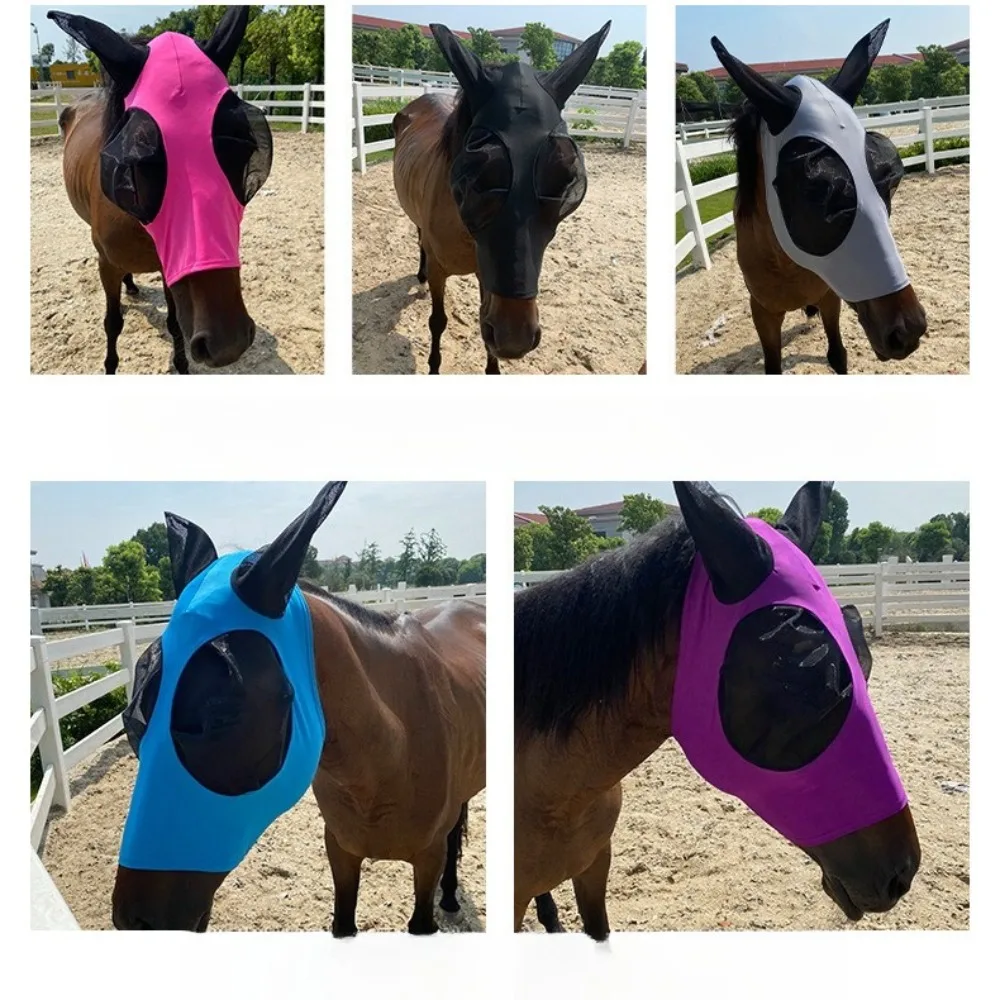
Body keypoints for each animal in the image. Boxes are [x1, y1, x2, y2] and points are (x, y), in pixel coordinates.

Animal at [48, 7, 273, 373]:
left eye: (245, 149)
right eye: (141, 160)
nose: (228, 343)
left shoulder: (172, 269)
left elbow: (175, 323)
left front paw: (181, 364)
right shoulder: (106, 265)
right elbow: (112, 323)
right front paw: (110, 366)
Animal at [110, 482, 486, 934]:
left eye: (221, 715)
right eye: (133, 719)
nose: (135, 918)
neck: (393, 748)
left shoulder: (426, 861)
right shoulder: (341, 851)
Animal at [391, 21, 610, 374]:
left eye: (564, 177)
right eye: (477, 174)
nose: (514, 337)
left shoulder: (488, 278)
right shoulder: (441, 272)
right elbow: (437, 321)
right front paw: (434, 365)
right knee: (419, 237)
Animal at [713, 20, 927, 374]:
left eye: (889, 181)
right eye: (814, 192)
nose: (908, 331)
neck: (790, 265)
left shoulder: (831, 298)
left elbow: (837, 355)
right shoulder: (763, 313)